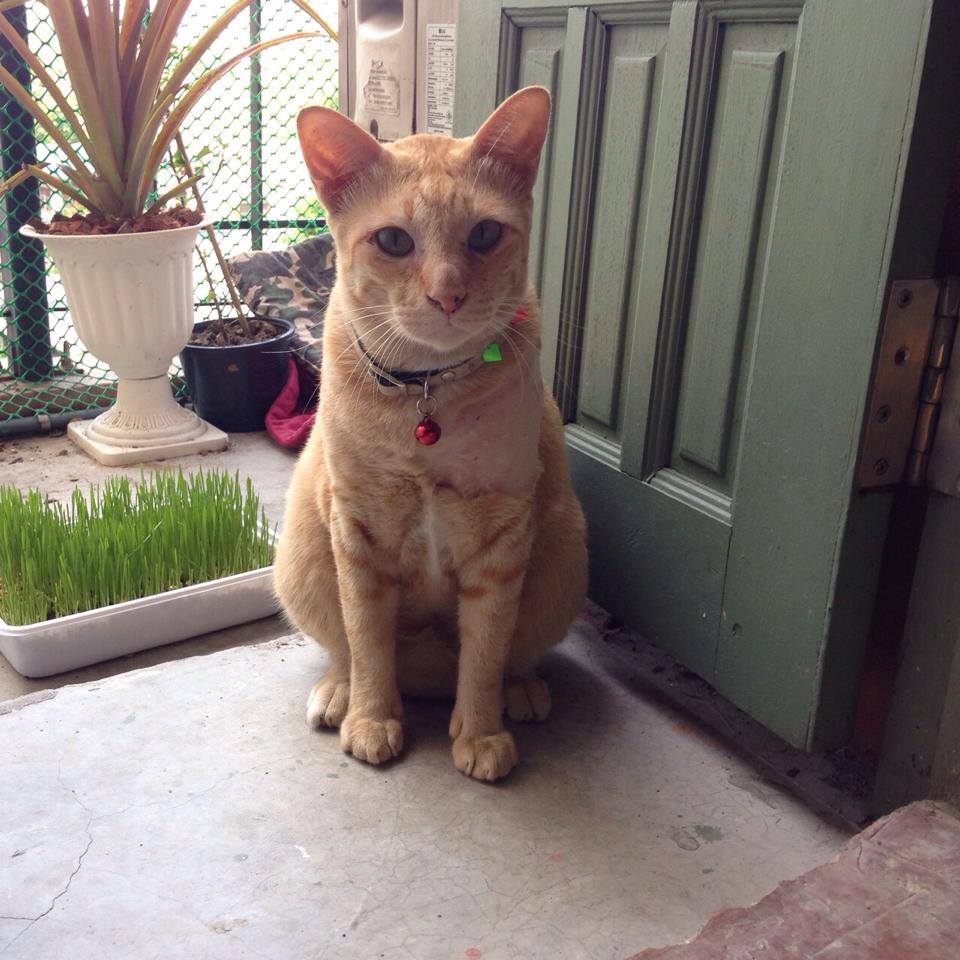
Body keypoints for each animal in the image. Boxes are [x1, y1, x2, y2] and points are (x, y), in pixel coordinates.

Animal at [274, 86, 587, 782]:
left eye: (486, 233)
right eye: (393, 240)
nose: (448, 296)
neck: (426, 398)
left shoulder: (504, 536)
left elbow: (486, 651)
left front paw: (480, 731)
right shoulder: (356, 533)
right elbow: (366, 640)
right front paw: (371, 719)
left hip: (563, 559)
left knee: (517, 655)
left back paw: (520, 692)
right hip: (303, 559)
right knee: (342, 649)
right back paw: (340, 694)